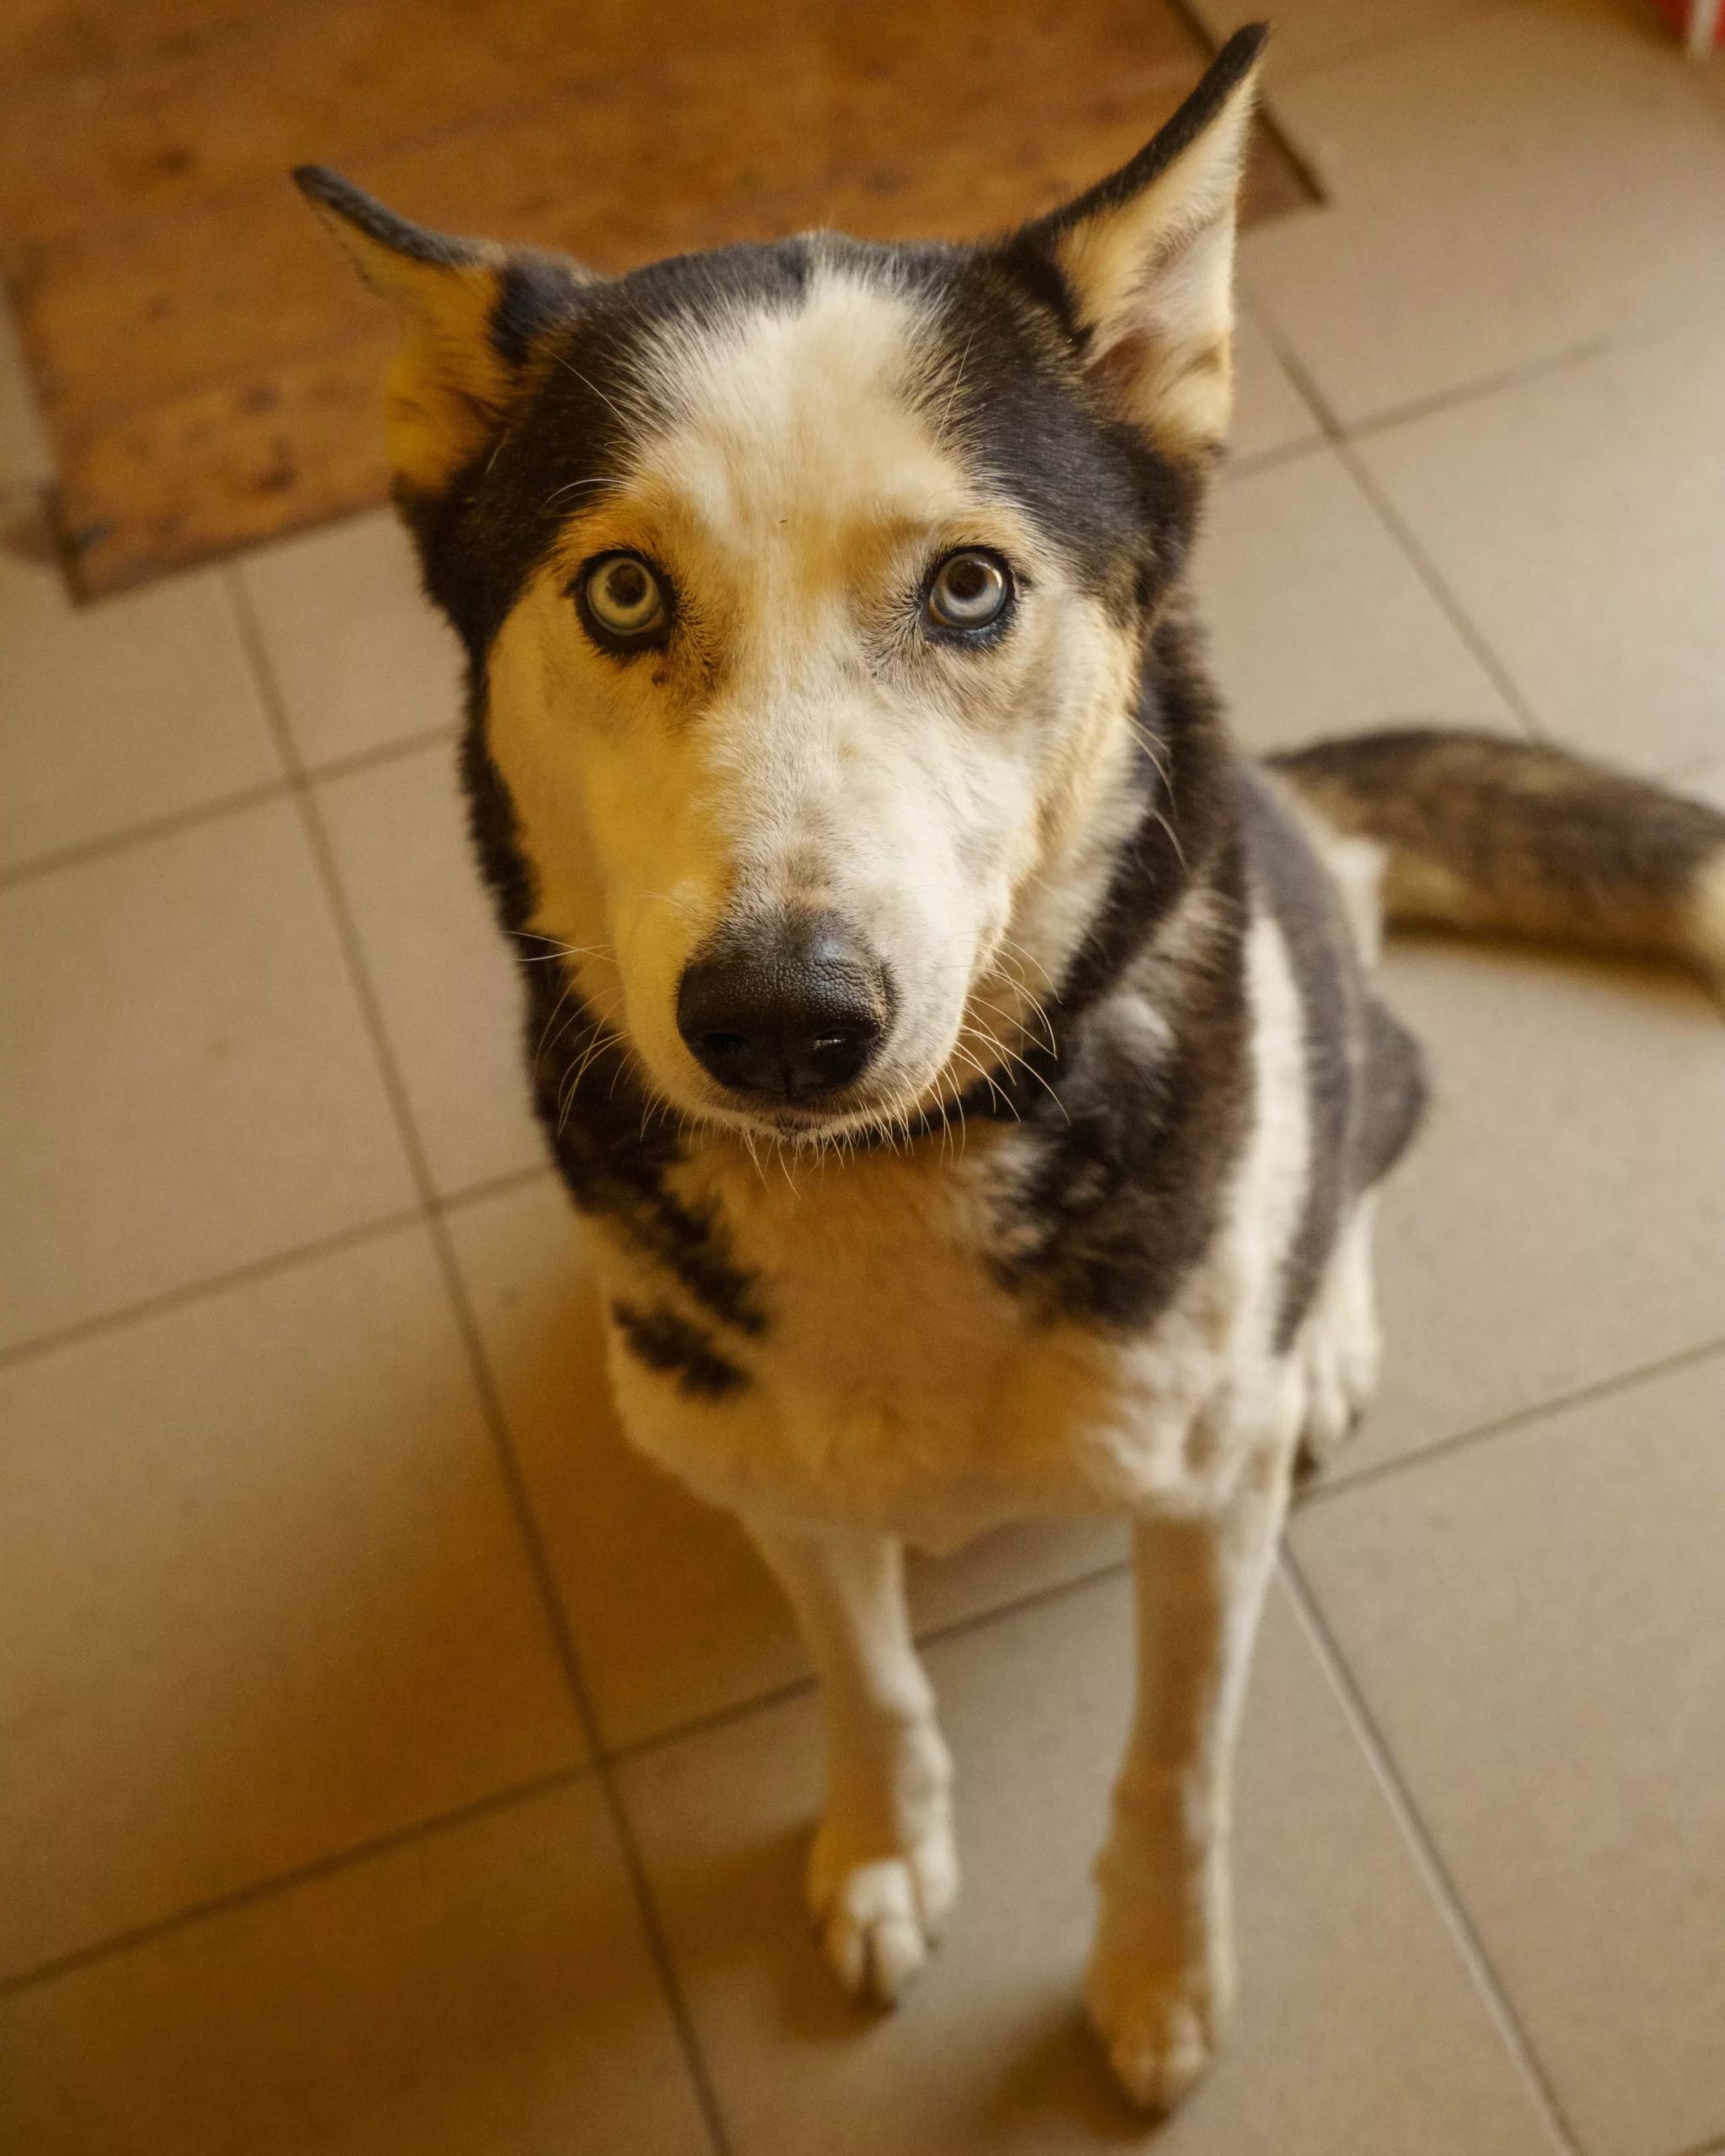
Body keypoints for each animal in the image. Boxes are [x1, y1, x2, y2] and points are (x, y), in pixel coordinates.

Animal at [298, 25, 1725, 2110]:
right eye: (623, 593)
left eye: (970, 588)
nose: (782, 1016)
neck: (895, 1178)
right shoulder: (777, 1484)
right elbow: (872, 1678)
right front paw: (885, 1846)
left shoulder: (1199, 1514)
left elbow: (1174, 1763)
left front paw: (1154, 1971)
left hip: (1311, 1010)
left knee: (1366, 1083)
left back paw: (1327, 1327)